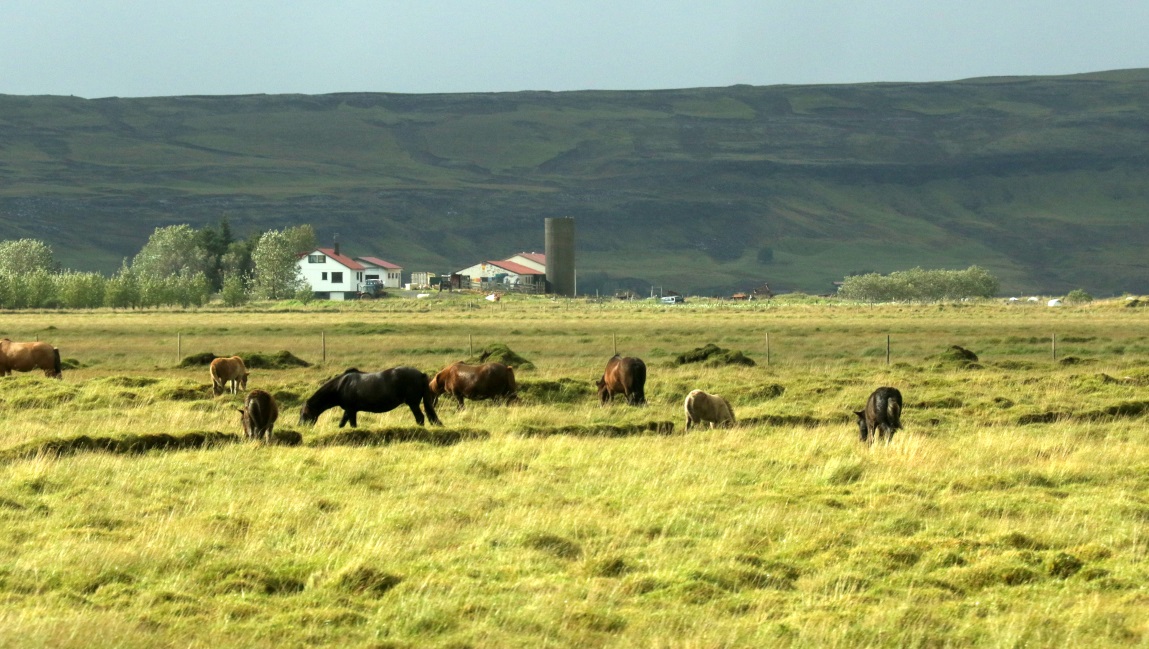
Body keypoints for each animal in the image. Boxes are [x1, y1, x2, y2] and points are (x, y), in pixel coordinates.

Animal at [299, 367, 442, 428]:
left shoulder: (351, 410)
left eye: (304, 414)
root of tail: (421, 374)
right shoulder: (349, 410)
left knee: (420, 418)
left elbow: (352, 424)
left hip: (413, 403)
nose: (300, 425)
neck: (341, 385)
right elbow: (342, 423)